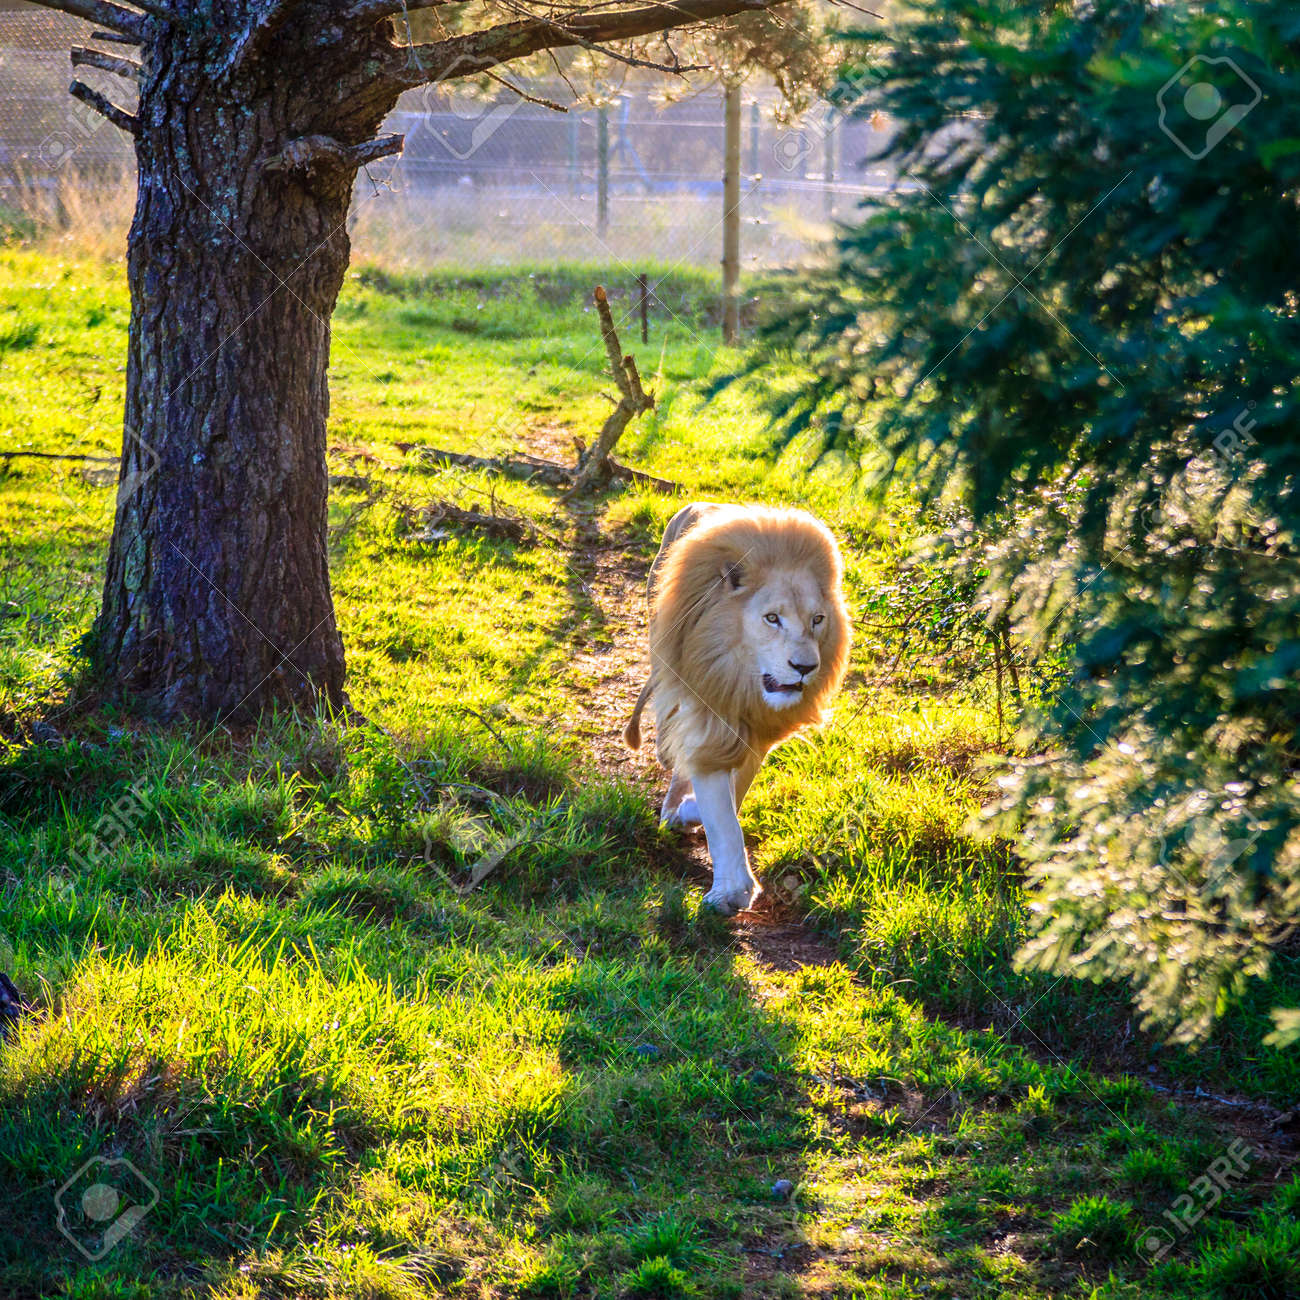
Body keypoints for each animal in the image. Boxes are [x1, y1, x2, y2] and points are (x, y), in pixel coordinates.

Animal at [624, 502, 851, 914]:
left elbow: (730, 795)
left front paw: (688, 814)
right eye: (772, 618)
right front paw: (731, 892)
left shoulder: (756, 731)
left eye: (818, 620)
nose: (805, 667)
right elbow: (719, 810)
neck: (741, 680)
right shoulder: (708, 708)